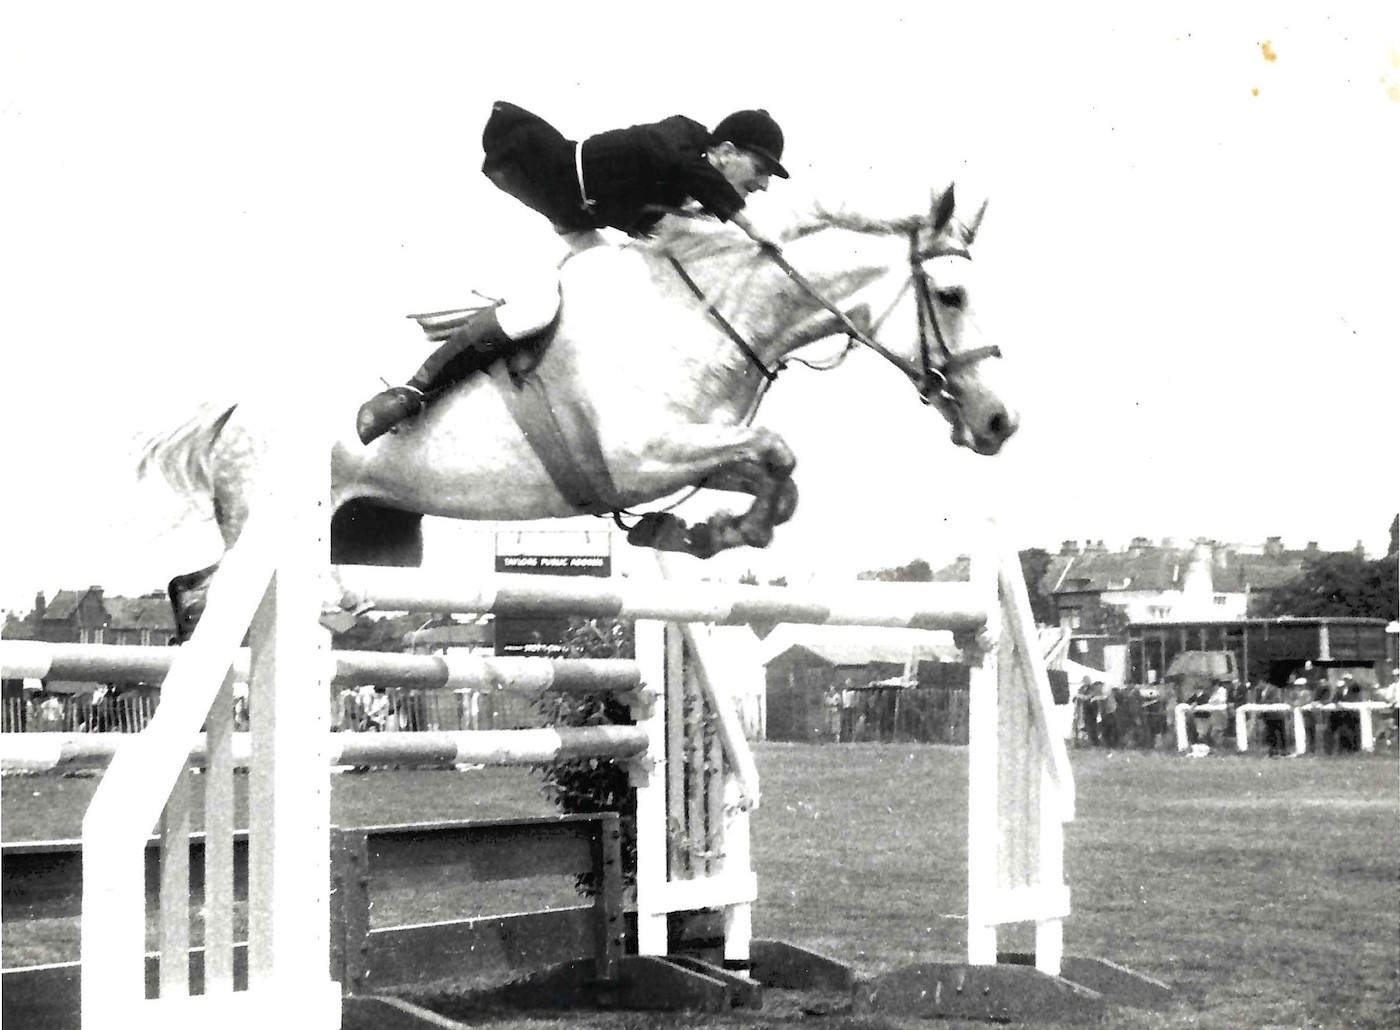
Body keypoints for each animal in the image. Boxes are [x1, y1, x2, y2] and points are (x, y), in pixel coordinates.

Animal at [139, 185, 1018, 639]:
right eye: (951, 294)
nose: (999, 423)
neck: (710, 314)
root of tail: (235, 410)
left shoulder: (696, 445)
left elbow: (777, 474)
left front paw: (700, 533)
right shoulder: (641, 455)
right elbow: (777, 450)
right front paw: (708, 531)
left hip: (372, 537)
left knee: (193, 586)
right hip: (273, 521)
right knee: (207, 592)